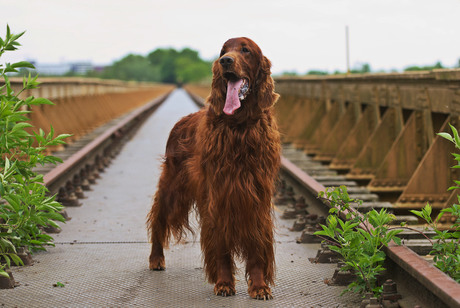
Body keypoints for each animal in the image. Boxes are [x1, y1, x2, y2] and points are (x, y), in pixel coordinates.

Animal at [147, 37, 282, 300]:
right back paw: (156, 258)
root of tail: (182, 120)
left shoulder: (256, 197)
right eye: (223, 51)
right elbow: (220, 244)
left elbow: (256, 244)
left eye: (245, 50)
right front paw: (224, 282)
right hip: (172, 188)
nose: (225, 61)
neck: (239, 126)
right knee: (158, 218)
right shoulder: (218, 196)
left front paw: (259, 286)